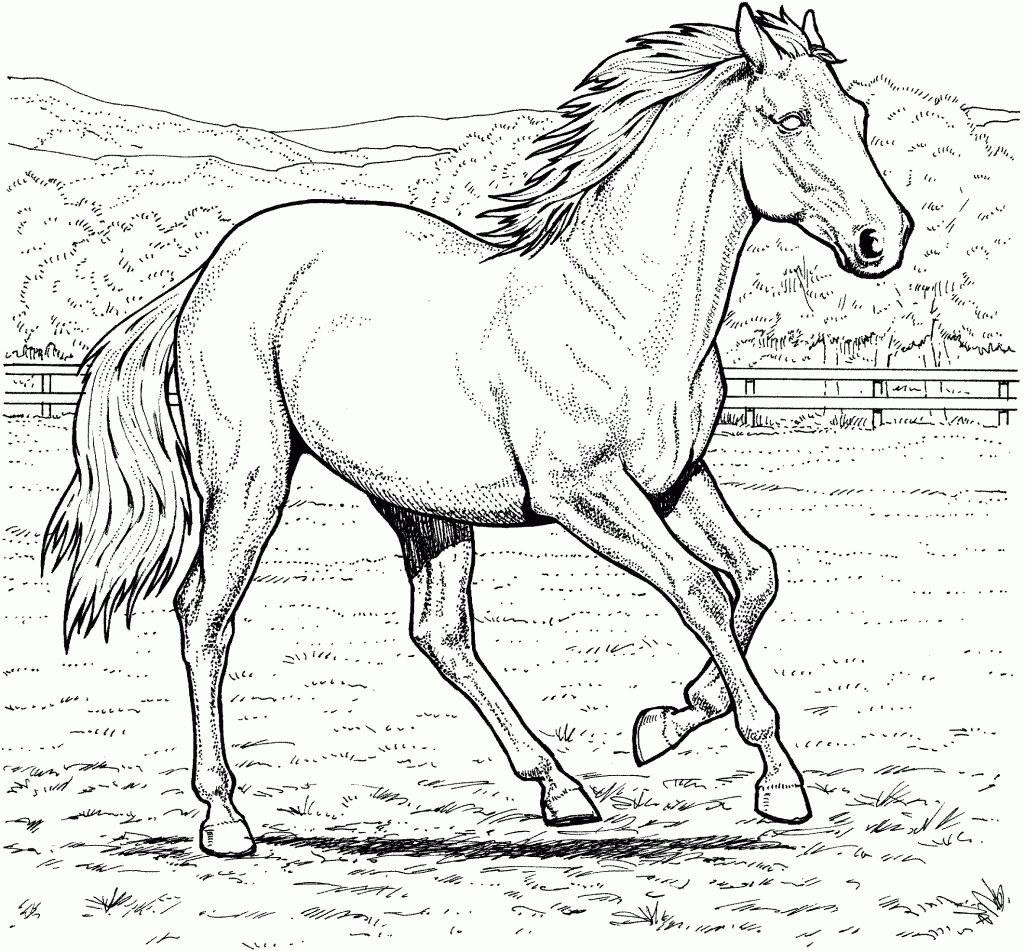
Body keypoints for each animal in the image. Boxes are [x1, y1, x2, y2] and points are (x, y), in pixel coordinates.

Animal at [44, 4, 912, 857]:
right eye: (790, 118)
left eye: (858, 115)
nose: (884, 239)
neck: (619, 308)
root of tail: (208, 271)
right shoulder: (583, 494)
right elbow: (699, 589)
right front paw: (777, 781)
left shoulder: (675, 480)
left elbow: (756, 574)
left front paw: (664, 722)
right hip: (250, 478)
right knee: (206, 615)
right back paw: (225, 817)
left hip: (422, 506)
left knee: (440, 632)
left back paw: (561, 789)